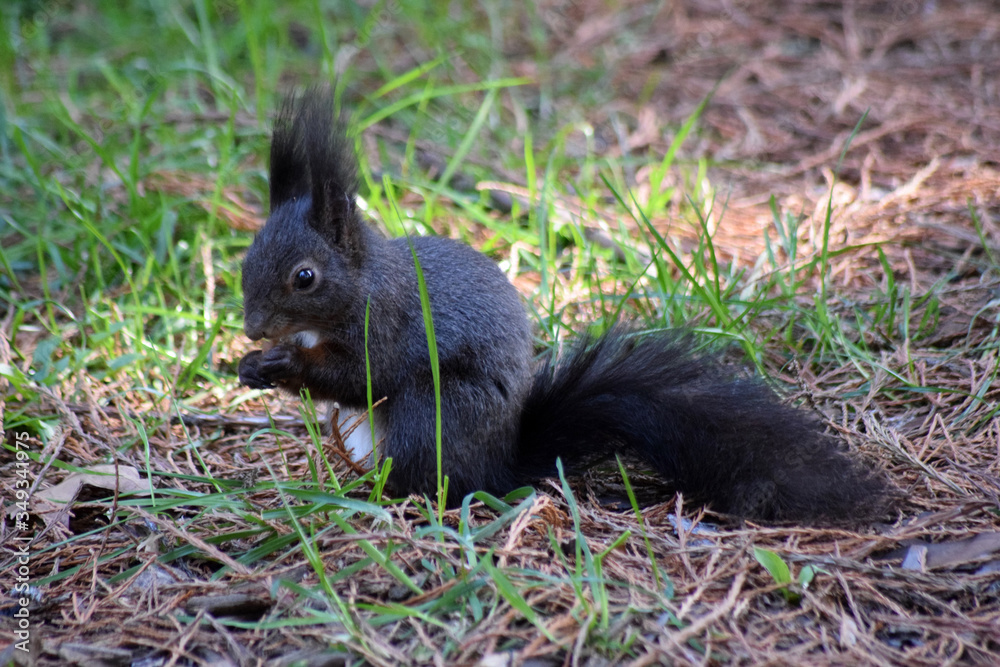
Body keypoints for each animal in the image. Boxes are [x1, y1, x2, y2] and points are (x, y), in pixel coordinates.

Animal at [238, 89, 887, 521]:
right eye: (246, 257)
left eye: (304, 277)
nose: (252, 331)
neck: (363, 283)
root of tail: (501, 464)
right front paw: (252, 367)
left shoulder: (390, 326)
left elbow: (363, 376)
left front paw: (284, 365)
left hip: (434, 414)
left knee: (434, 475)